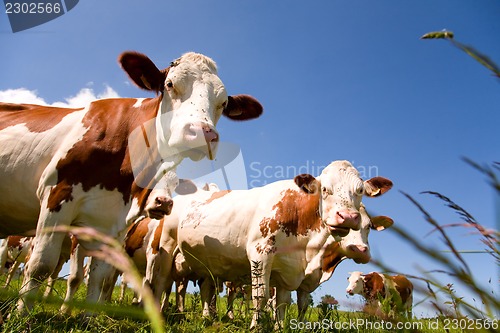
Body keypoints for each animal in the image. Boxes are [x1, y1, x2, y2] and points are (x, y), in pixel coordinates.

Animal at [0, 50, 264, 312]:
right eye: (170, 84)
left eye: (224, 103)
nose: (201, 133)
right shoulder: (57, 195)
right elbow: (41, 267)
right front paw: (24, 314)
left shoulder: (115, 227)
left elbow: (99, 278)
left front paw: (86, 316)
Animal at [176, 160, 394, 326]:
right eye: (324, 189)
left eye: (360, 190)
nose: (347, 217)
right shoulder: (261, 253)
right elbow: (261, 297)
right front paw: (256, 327)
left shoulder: (289, 271)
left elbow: (285, 303)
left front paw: (280, 327)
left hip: (209, 266)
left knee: (207, 289)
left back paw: (208, 317)